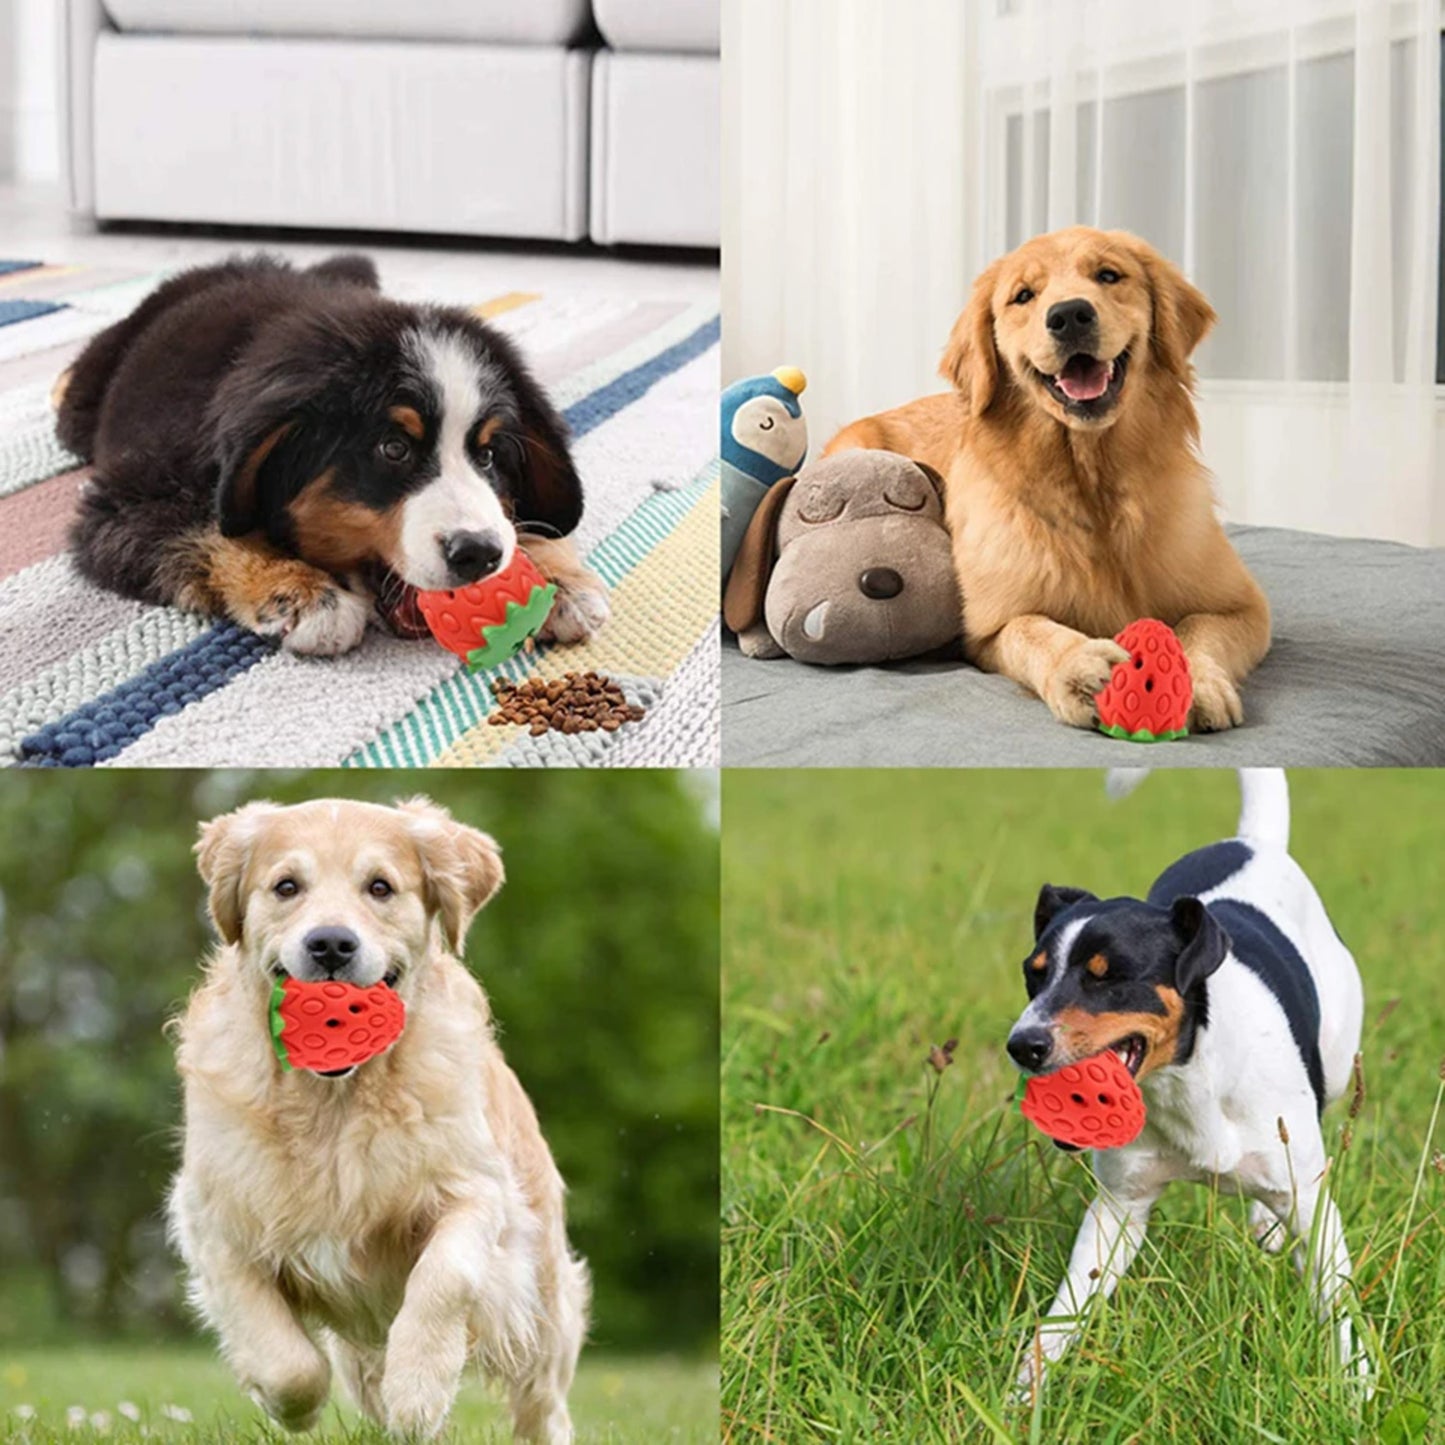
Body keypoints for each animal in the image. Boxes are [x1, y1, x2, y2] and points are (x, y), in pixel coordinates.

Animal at [54, 257, 609, 658]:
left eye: (490, 455)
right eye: (393, 449)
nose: (478, 553)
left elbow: (522, 523)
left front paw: (561, 579)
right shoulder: (127, 501)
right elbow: (210, 527)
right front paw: (298, 589)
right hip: (90, 395)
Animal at [1005, 774, 1364, 1392]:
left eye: (1108, 978)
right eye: (1034, 974)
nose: (1022, 1045)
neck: (1189, 1083)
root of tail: (1254, 840)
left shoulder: (1312, 1202)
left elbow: (1337, 1302)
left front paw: (1357, 1386)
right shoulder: (1118, 1209)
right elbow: (1066, 1311)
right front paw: (1024, 1393)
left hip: (1338, 1065)